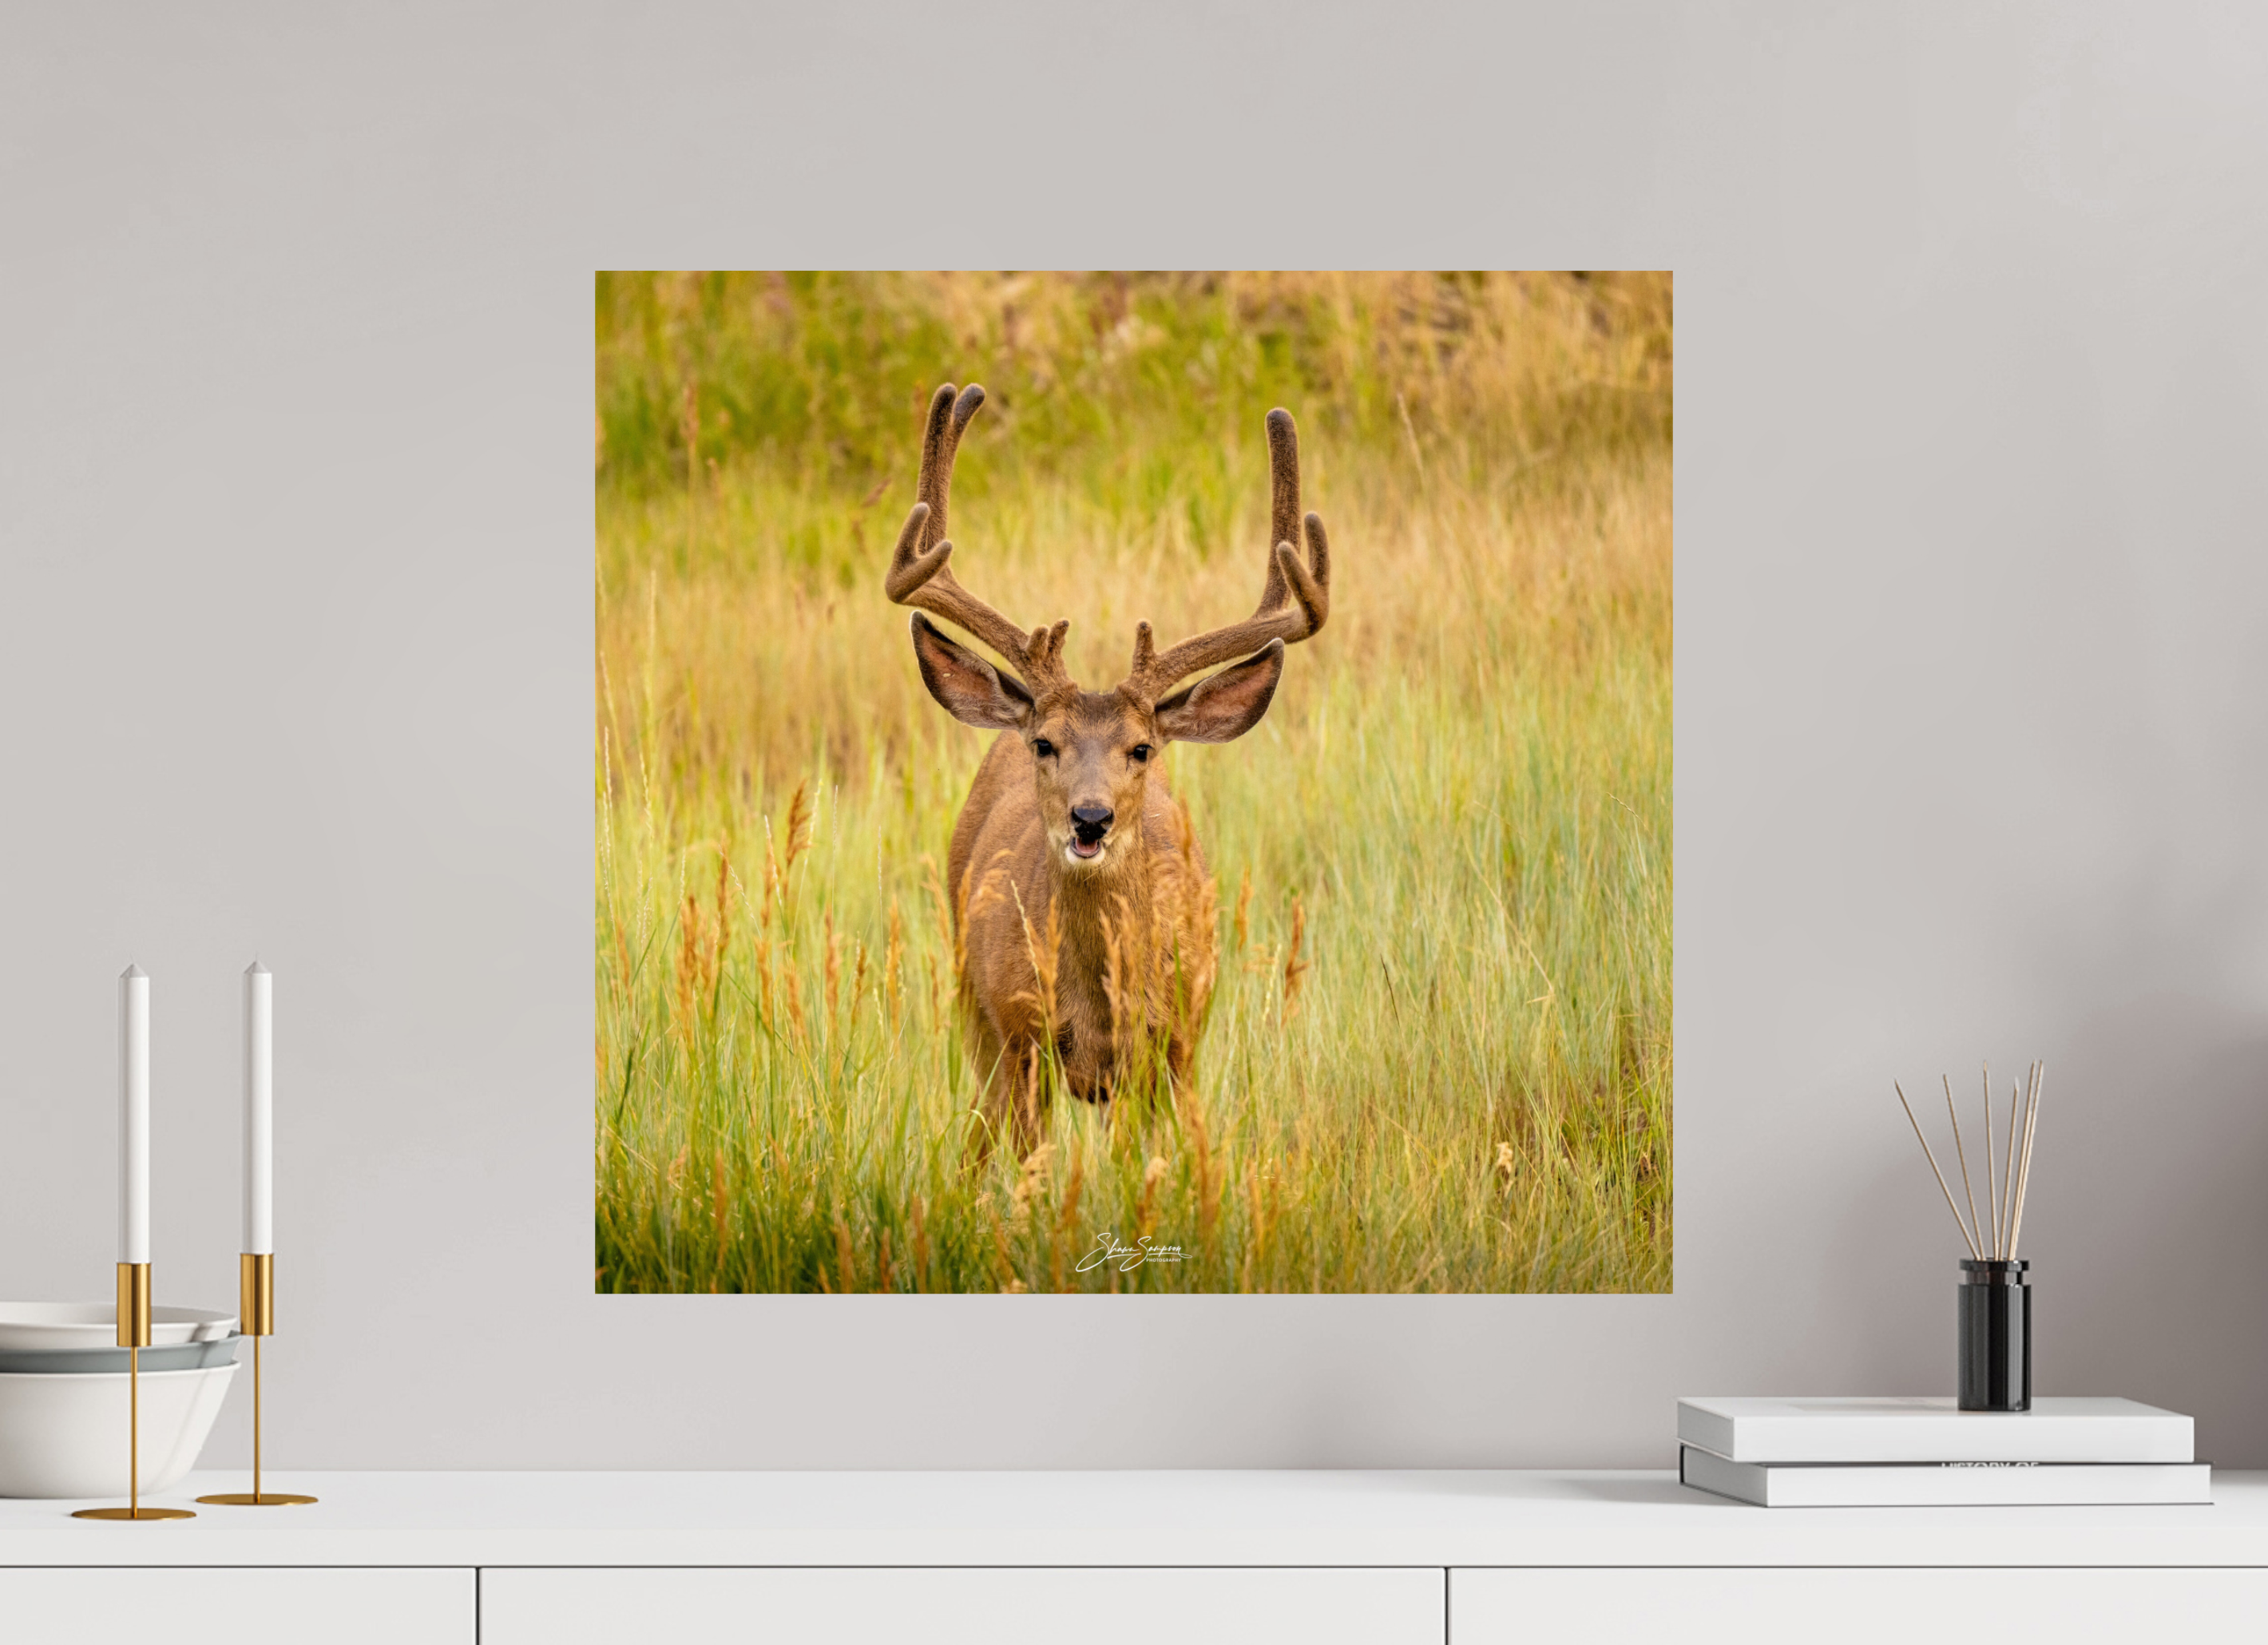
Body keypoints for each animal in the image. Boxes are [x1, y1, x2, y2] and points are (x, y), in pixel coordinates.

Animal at [884, 383, 1333, 1154]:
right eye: (1045, 744)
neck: (1097, 1008)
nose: (1089, 818)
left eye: (1141, 749)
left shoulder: (1176, 1047)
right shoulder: (1019, 1039)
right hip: (971, 1003)